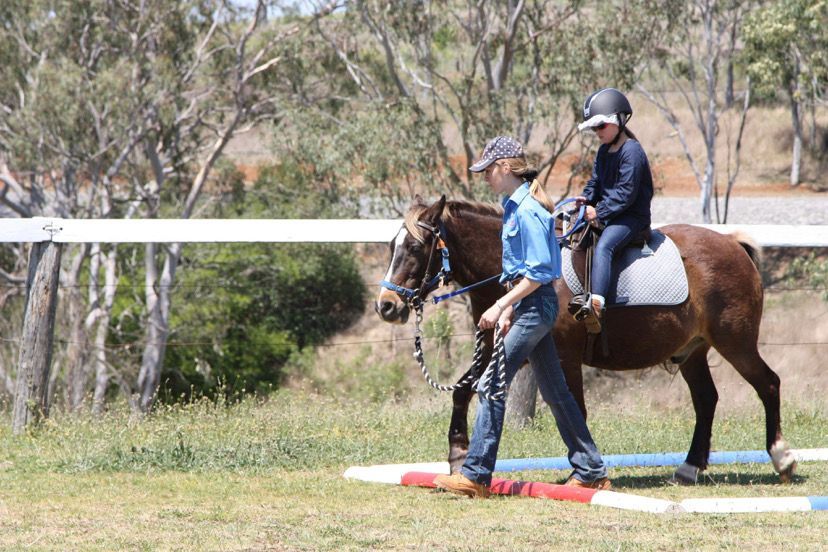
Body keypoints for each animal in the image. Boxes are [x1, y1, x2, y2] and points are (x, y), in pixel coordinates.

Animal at [375, 195, 797, 484]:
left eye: (415, 247)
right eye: (391, 246)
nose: (386, 305)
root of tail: (734, 245)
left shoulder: (564, 357)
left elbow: (574, 408)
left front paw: (584, 472)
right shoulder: (507, 350)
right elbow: (464, 391)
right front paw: (458, 455)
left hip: (736, 343)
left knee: (768, 384)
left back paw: (782, 458)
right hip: (692, 351)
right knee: (707, 399)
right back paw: (689, 469)